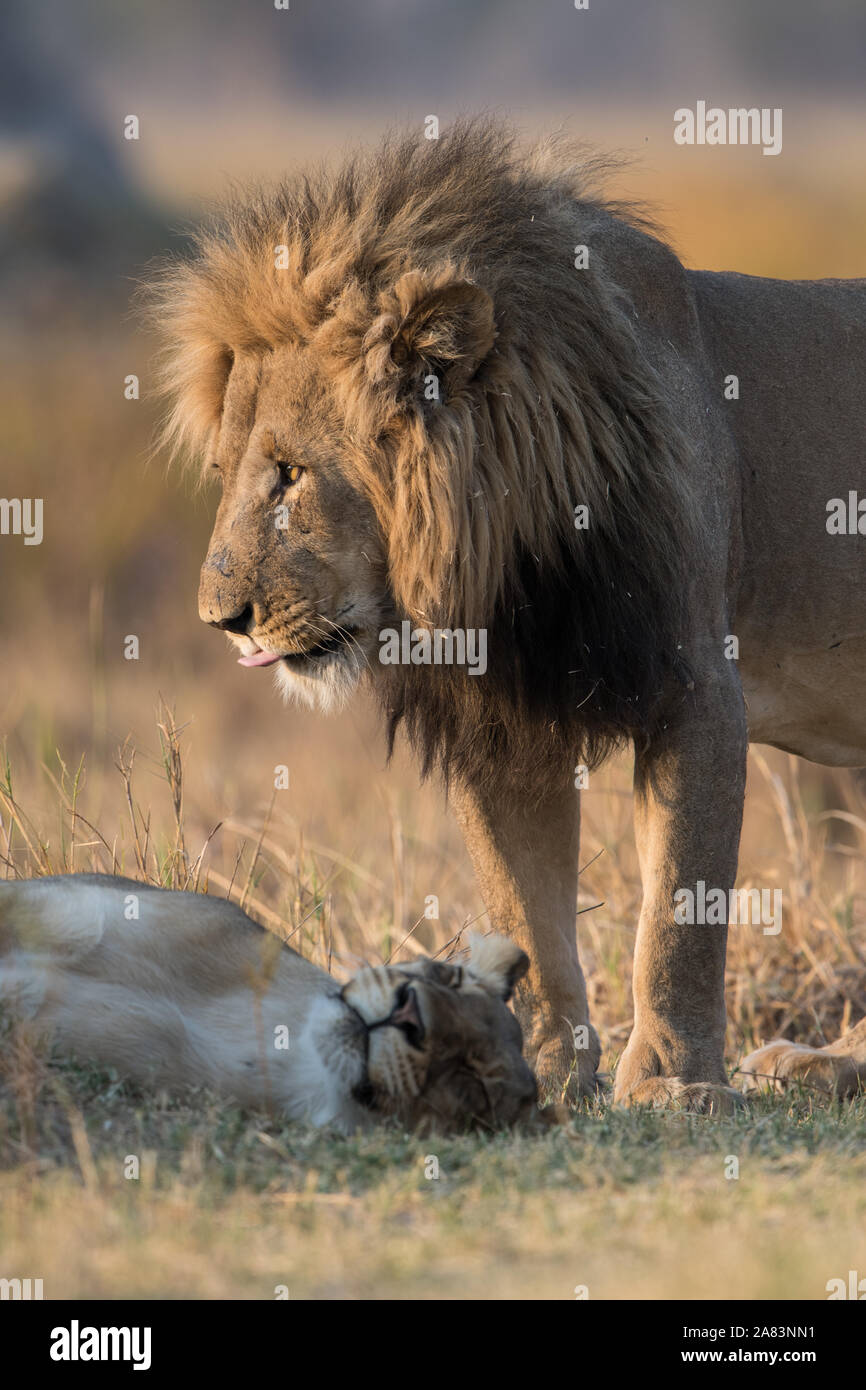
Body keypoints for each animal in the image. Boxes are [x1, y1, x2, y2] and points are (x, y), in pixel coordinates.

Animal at [145, 117, 866, 1110]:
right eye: (224, 474)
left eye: (290, 474)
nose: (221, 618)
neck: (507, 562)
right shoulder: (501, 723)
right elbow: (524, 907)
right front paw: (551, 1072)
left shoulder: (695, 687)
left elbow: (679, 911)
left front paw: (672, 1083)